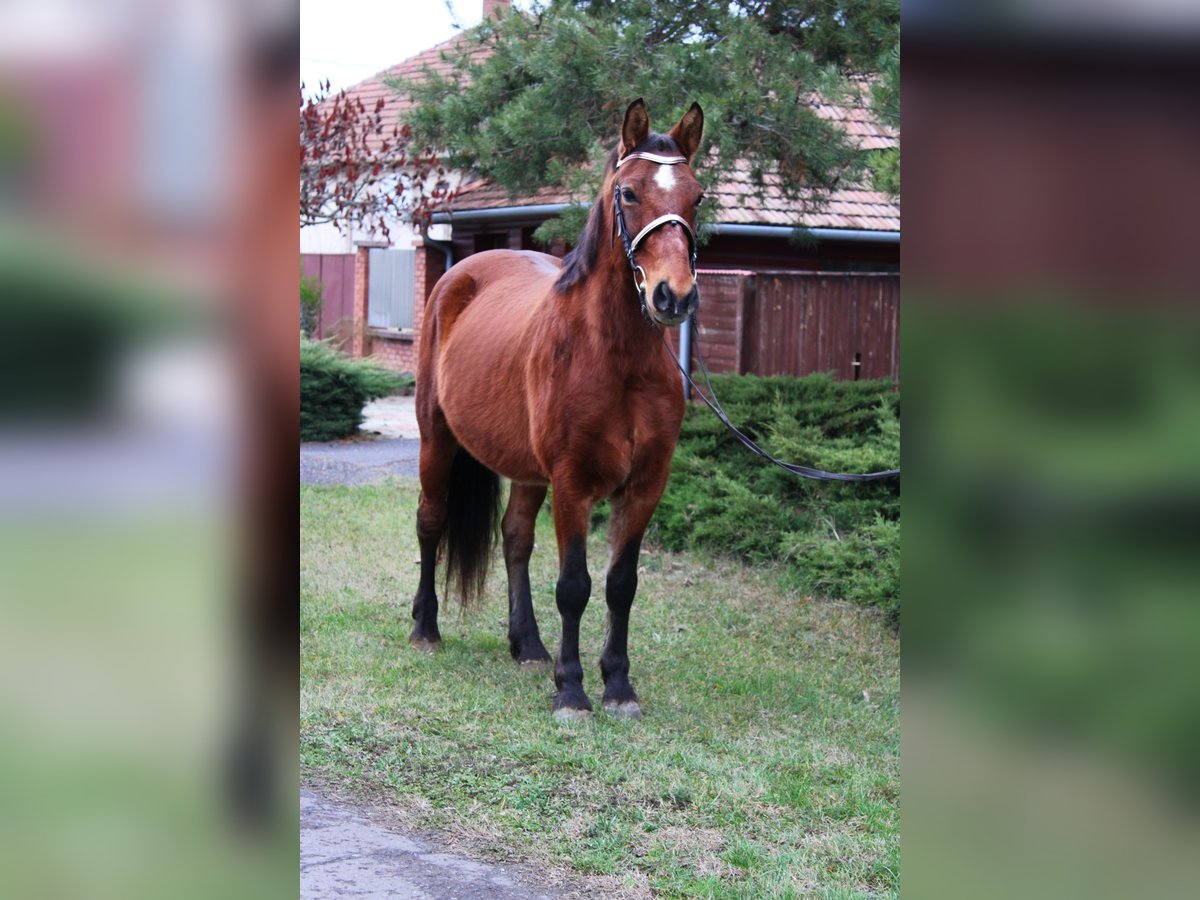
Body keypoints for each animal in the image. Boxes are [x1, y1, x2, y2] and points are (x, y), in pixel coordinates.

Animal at [411, 99, 705, 719]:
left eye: (697, 196)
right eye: (629, 193)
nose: (673, 296)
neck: (616, 358)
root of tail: (458, 273)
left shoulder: (646, 484)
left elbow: (621, 584)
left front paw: (618, 685)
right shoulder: (573, 482)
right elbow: (575, 586)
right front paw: (572, 689)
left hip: (526, 469)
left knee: (515, 537)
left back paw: (528, 645)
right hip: (436, 439)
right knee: (430, 521)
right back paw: (426, 628)